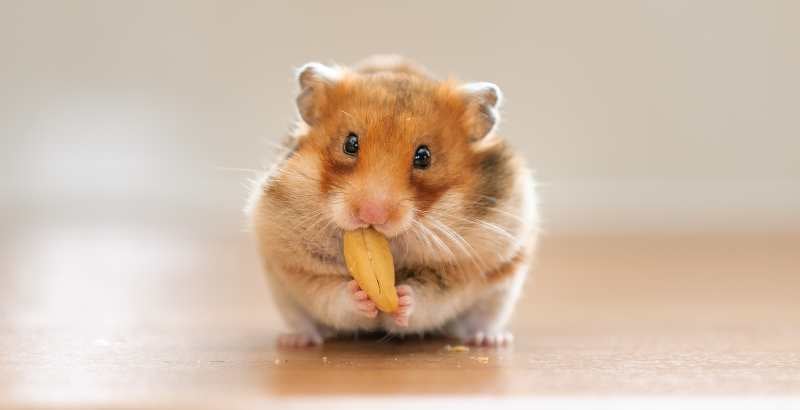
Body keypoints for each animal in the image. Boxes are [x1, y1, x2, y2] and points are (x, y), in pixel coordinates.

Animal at [247, 55, 539, 347]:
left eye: (424, 156)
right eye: (350, 144)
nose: (371, 215)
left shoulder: (465, 268)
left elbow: (430, 296)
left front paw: (402, 298)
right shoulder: (295, 263)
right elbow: (331, 293)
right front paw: (359, 295)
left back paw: (490, 340)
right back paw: (296, 341)